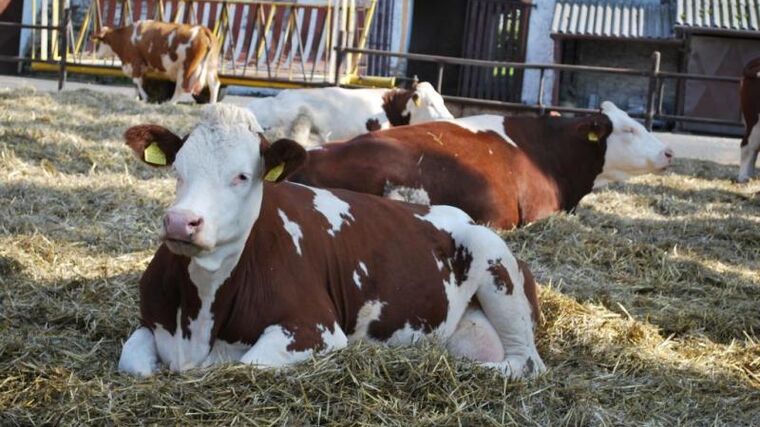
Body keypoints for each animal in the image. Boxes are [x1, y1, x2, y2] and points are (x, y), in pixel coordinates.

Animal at [117, 105, 548, 380]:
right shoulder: (149, 322)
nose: (180, 221)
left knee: (525, 363)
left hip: (497, 268)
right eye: (178, 168)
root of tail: (457, 215)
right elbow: (133, 363)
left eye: (242, 176)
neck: (199, 311)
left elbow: (244, 362)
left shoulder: (315, 329)